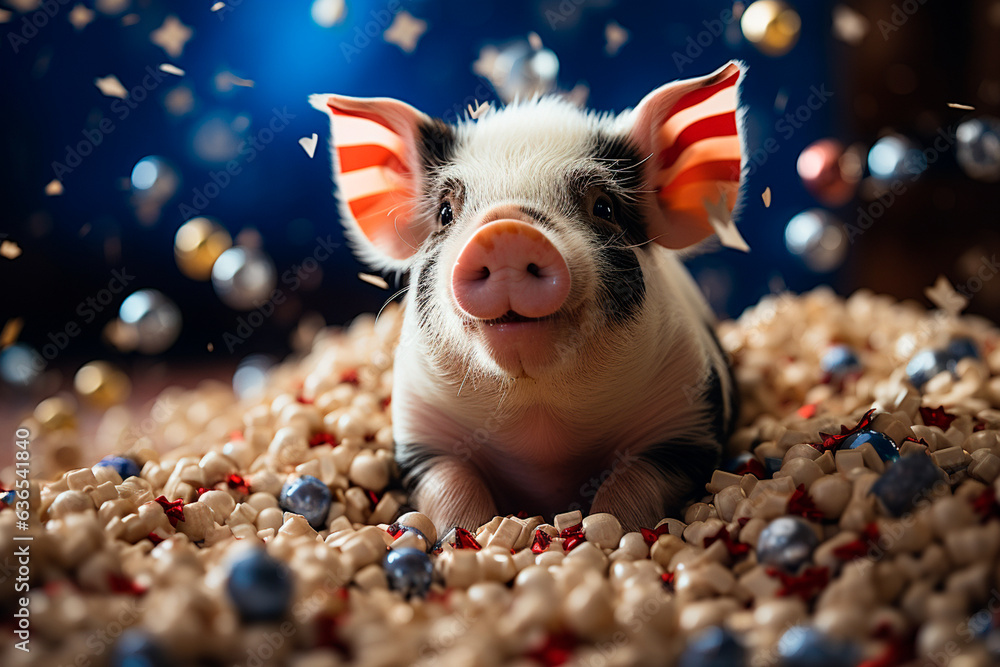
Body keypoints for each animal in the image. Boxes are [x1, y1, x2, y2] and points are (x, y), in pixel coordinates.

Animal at [311, 61, 746, 532]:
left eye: (604, 207)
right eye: (445, 212)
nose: (505, 230)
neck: (541, 430)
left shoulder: (689, 420)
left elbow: (631, 486)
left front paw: (607, 529)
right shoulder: (421, 435)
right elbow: (453, 487)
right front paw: (465, 537)